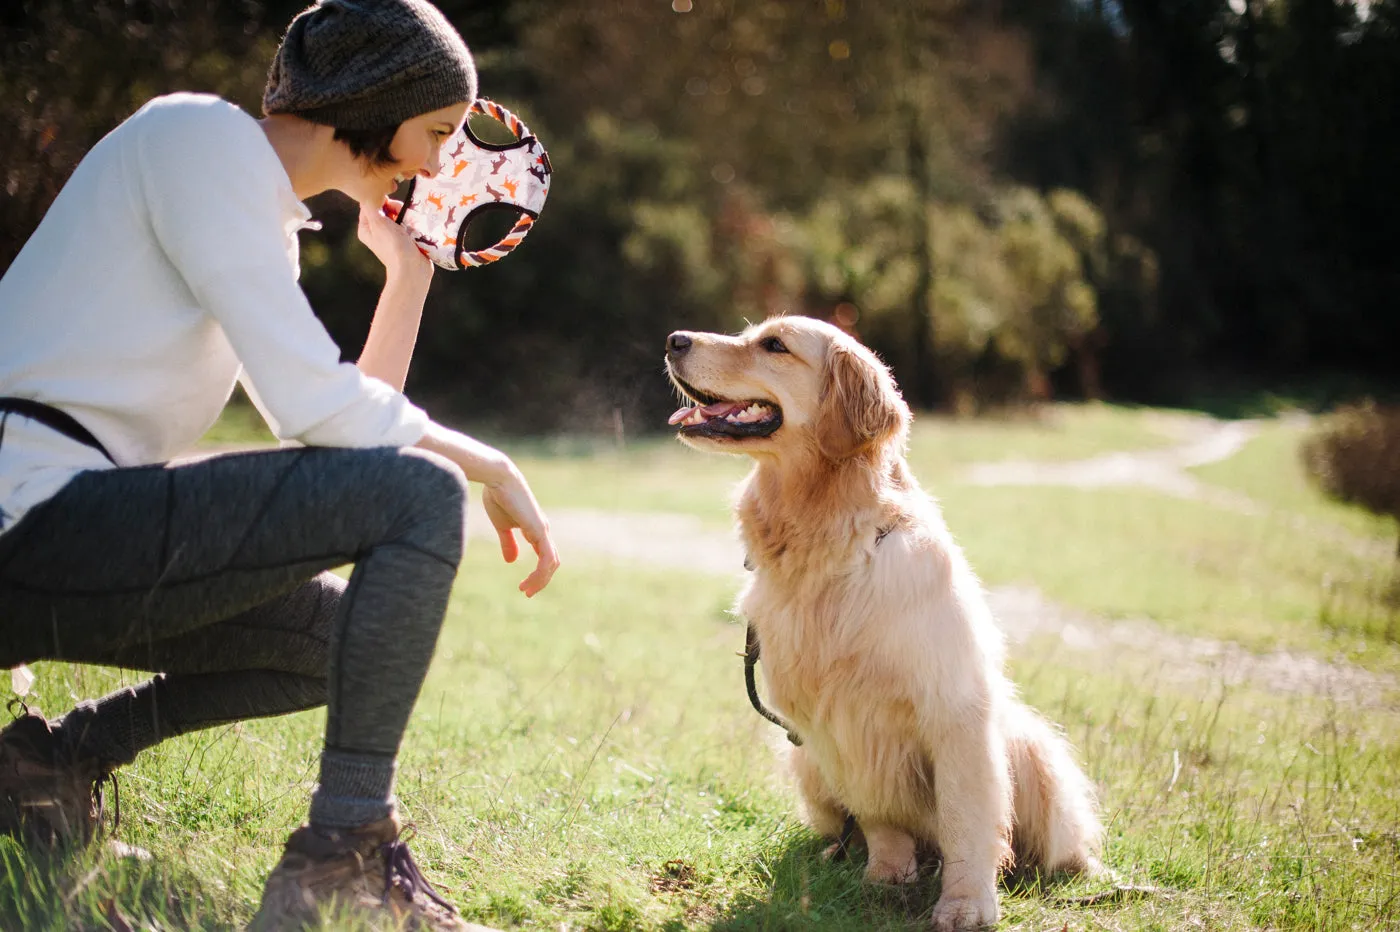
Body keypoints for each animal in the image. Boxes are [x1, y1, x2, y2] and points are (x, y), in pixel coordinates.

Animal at [663, 316, 1103, 923]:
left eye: (774, 345)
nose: (673, 340)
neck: (832, 545)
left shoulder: (956, 711)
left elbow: (967, 820)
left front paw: (966, 904)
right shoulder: (834, 724)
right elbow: (879, 816)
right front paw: (885, 878)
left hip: (1032, 744)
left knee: (1065, 842)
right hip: (803, 759)